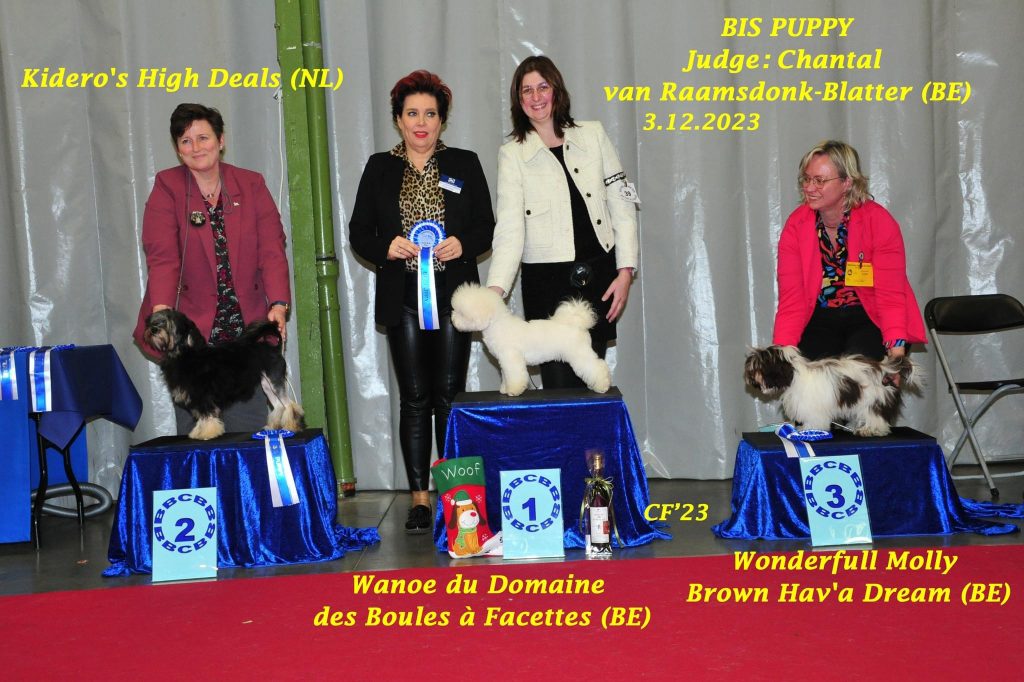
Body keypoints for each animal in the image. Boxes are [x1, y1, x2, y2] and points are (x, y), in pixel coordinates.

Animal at [144, 309, 304, 440]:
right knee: (278, 406)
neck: (184, 353)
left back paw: (291, 426)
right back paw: (272, 427)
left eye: (168, 321)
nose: (153, 329)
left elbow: (207, 416)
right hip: (267, 385)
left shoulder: (203, 396)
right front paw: (198, 432)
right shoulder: (199, 398)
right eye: (154, 320)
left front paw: (207, 433)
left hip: (275, 380)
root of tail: (275, 349)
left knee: (289, 405)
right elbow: (202, 417)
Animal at [450, 283, 611, 396]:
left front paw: (513, 390)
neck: (496, 324)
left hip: (580, 355)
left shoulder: (511, 358)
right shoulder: (504, 361)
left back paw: (602, 386)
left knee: (597, 366)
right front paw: (505, 389)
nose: (452, 319)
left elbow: (515, 375)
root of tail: (577, 323)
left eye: (462, 313)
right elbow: (506, 376)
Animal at [743, 345, 921, 437]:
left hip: (874, 399)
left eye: (760, 366)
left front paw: (809, 429)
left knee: (876, 416)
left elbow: (814, 420)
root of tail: (884, 368)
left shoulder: (813, 407)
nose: (749, 377)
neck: (794, 376)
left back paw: (870, 429)